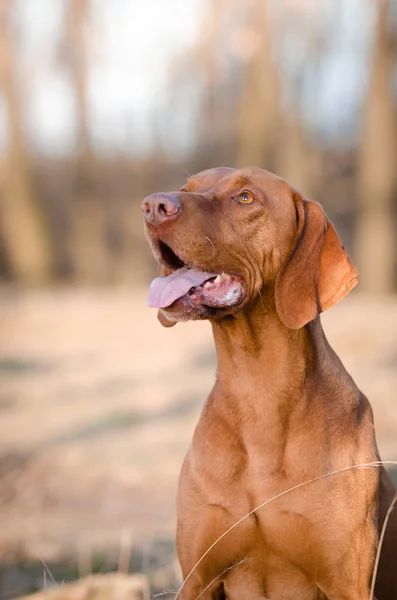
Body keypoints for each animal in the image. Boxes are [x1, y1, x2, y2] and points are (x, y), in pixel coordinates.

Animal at [141, 168, 394, 600]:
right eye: (187, 188)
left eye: (245, 198)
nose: (153, 205)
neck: (256, 386)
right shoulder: (197, 579)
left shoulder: (348, 583)